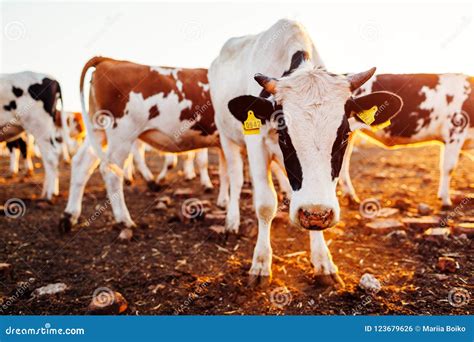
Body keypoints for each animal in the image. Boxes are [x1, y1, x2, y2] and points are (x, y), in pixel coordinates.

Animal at [60, 56, 229, 239]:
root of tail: (109, 60)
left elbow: (225, 173)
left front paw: (224, 202)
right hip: (121, 134)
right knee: (110, 172)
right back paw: (125, 220)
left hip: (97, 130)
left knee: (81, 163)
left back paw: (69, 217)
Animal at [209, 19, 402, 286]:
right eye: (284, 135)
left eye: (344, 136)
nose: (315, 213)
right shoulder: (256, 142)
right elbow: (265, 204)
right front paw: (261, 263)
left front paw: (323, 261)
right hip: (227, 136)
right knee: (236, 180)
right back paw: (231, 221)